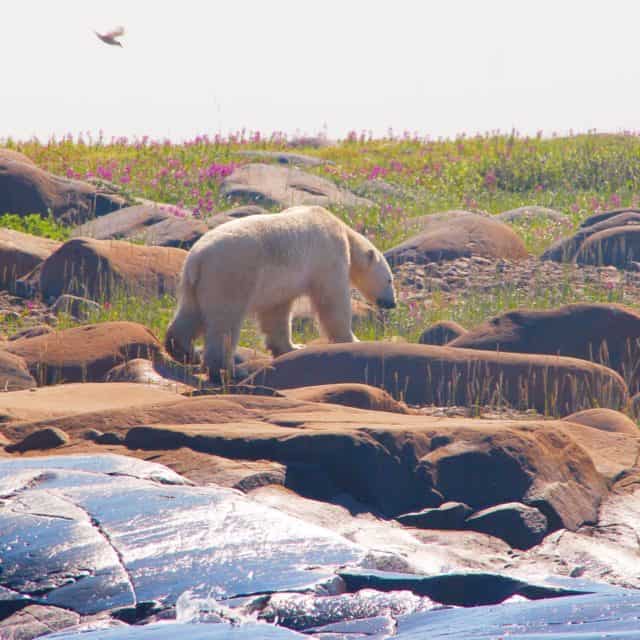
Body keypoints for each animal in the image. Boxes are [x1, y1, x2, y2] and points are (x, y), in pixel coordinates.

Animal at [165, 205, 396, 380]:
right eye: (389, 279)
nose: (392, 303)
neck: (342, 230)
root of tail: (197, 258)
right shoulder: (328, 256)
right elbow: (332, 300)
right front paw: (352, 340)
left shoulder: (279, 284)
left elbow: (276, 312)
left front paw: (293, 346)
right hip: (230, 274)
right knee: (225, 321)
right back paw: (228, 370)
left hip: (195, 283)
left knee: (190, 314)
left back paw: (184, 352)